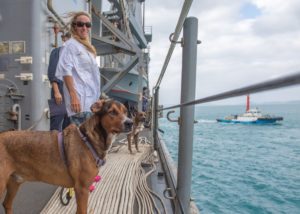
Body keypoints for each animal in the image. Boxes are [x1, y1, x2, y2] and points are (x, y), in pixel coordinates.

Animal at [0, 99, 132, 214]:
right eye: (112, 112)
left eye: (126, 112)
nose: (130, 123)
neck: (89, 140)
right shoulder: (82, 189)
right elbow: (82, 211)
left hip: (15, 181)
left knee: (7, 204)